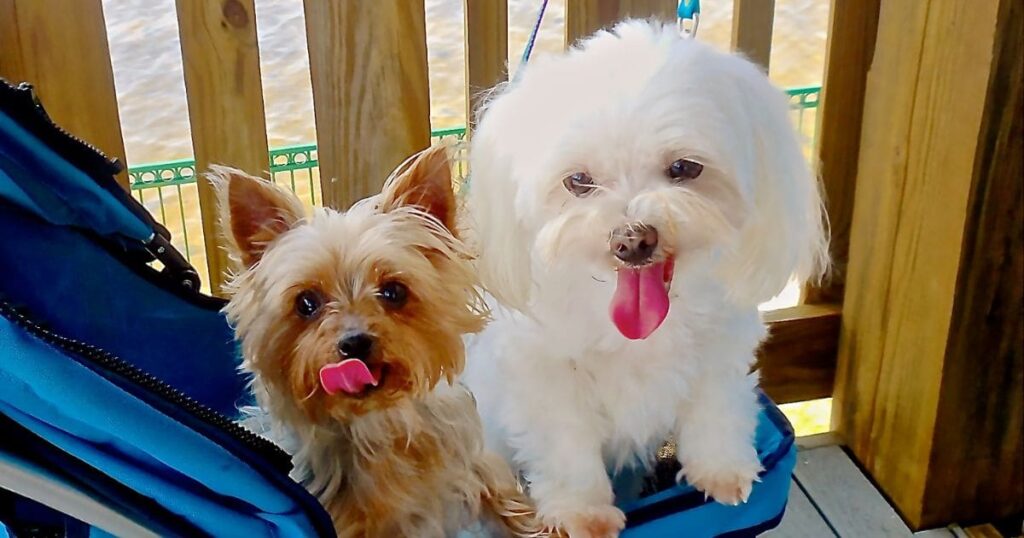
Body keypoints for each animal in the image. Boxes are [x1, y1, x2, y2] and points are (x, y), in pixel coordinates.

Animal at [212, 144, 540, 532]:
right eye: (306, 302)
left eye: (394, 291)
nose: (354, 343)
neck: (379, 425)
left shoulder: (475, 467)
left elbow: (507, 499)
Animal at [460, 18, 827, 532]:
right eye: (578, 181)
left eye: (684, 168)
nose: (632, 240)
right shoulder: (548, 378)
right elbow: (566, 444)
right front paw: (583, 513)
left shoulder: (717, 351)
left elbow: (716, 408)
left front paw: (722, 470)